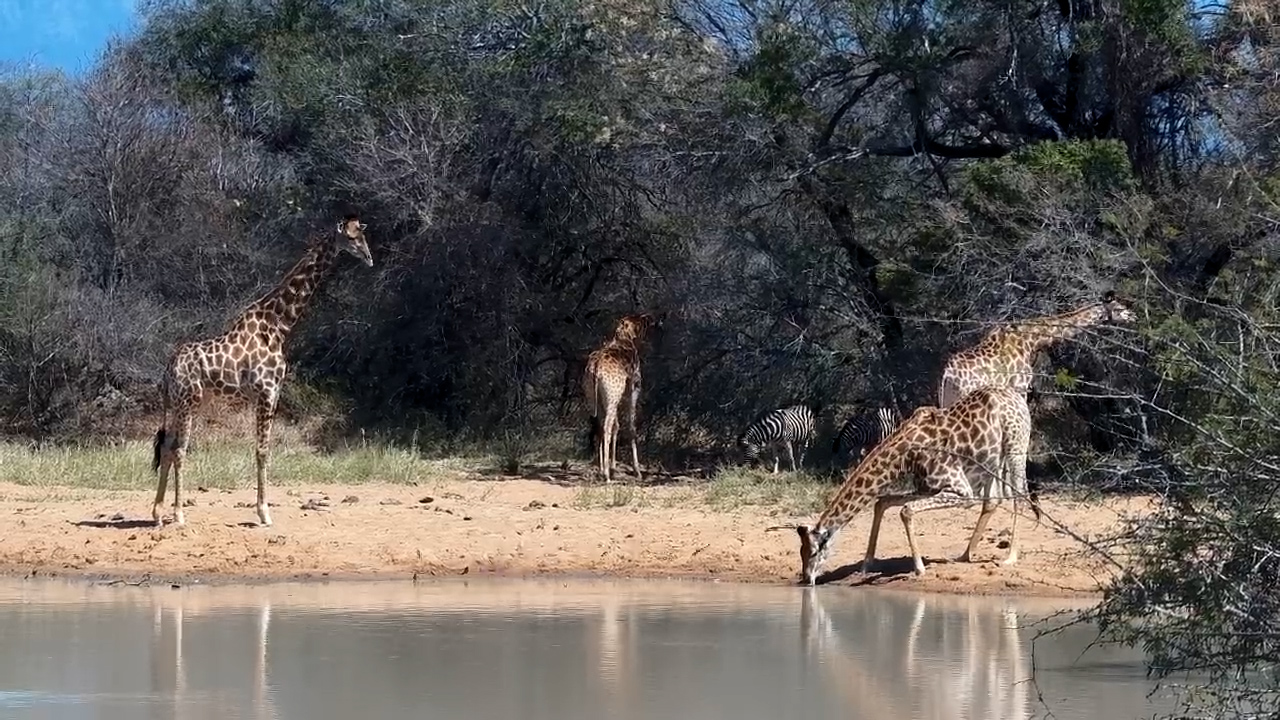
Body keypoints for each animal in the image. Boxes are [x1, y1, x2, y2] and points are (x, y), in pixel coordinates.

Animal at [150, 215, 373, 527]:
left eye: (363, 236)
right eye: (352, 238)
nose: (369, 258)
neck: (279, 325)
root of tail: (169, 368)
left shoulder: (271, 391)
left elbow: (262, 449)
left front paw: (263, 509)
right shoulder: (267, 390)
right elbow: (263, 450)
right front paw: (264, 512)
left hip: (185, 403)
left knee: (167, 447)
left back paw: (158, 513)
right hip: (187, 402)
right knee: (178, 449)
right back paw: (179, 514)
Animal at [582, 312, 662, 483]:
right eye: (644, 321)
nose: (654, 319)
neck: (627, 338)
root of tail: (595, 368)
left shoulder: (618, 394)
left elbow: (617, 426)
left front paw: (613, 468)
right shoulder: (633, 388)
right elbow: (631, 426)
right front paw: (637, 471)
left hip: (594, 398)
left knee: (600, 425)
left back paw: (602, 470)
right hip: (613, 396)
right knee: (606, 426)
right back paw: (606, 475)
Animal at [768, 386, 1038, 585]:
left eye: (814, 552)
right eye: (800, 552)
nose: (807, 579)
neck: (904, 454)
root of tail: (1018, 398)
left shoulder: (961, 491)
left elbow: (905, 511)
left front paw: (919, 569)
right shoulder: (926, 486)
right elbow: (882, 502)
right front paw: (866, 564)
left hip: (1016, 446)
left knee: (1019, 495)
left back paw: (1010, 557)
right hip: (991, 460)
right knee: (993, 500)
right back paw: (964, 555)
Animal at [937, 291, 1137, 409]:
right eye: (1120, 308)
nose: (1134, 317)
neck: (1031, 340)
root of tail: (948, 376)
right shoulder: (1020, 386)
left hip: (946, 399)